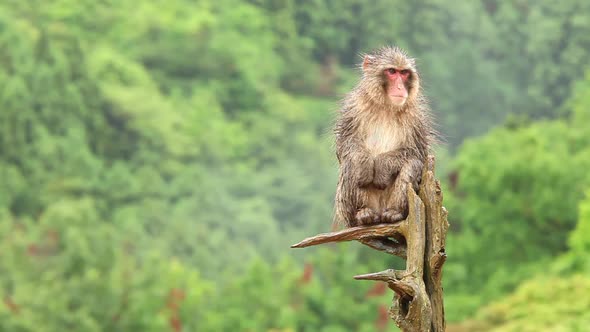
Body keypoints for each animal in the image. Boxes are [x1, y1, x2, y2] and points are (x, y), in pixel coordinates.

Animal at [336, 46, 438, 227]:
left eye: (404, 73)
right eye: (391, 71)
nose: (400, 87)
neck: (387, 106)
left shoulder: (417, 117)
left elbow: (417, 152)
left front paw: (382, 166)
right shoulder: (353, 107)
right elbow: (345, 144)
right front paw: (365, 164)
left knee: (412, 164)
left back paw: (395, 212)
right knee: (350, 164)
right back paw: (362, 213)